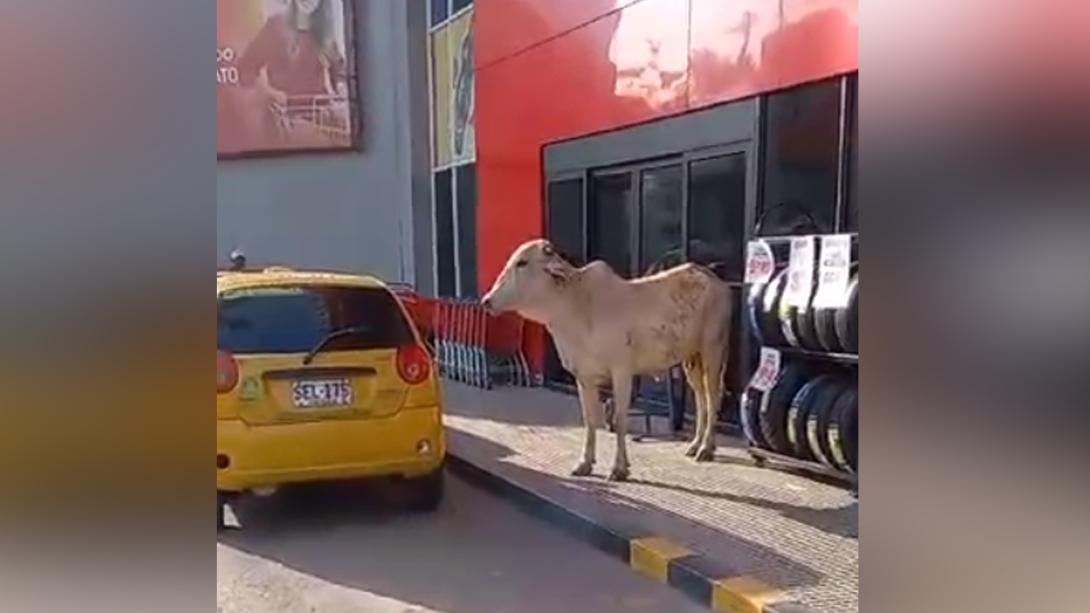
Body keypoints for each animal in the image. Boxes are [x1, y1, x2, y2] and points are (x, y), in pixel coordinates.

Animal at [481, 239, 732, 481]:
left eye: (522, 263)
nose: (486, 301)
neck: (576, 306)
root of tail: (713, 278)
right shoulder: (584, 377)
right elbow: (591, 419)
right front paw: (584, 464)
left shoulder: (621, 372)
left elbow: (620, 420)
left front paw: (619, 468)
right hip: (692, 358)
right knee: (701, 398)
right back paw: (695, 445)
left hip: (712, 350)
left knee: (712, 396)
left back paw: (706, 448)